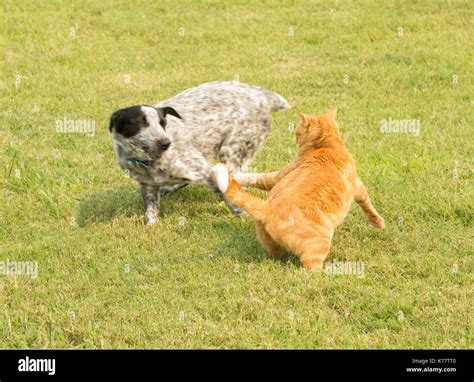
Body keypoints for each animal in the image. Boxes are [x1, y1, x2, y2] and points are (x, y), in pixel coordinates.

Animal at [110, 80, 288, 224]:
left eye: (162, 123)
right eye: (141, 123)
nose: (166, 142)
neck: (149, 163)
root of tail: (261, 96)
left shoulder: (206, 171)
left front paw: (244, 216)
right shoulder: (148, 186)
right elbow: (151, 211)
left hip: (231, 151)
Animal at [212, 107, 386, 272]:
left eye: (297, 130)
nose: (294, 137)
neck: (326, 145)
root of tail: (267, 208)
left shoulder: (278, 177)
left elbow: (257, 177)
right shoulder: (358, 185)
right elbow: (367, 204)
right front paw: (377, 222)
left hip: (274, 246)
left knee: (277, 256)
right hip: (319, 242)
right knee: (309, 269)